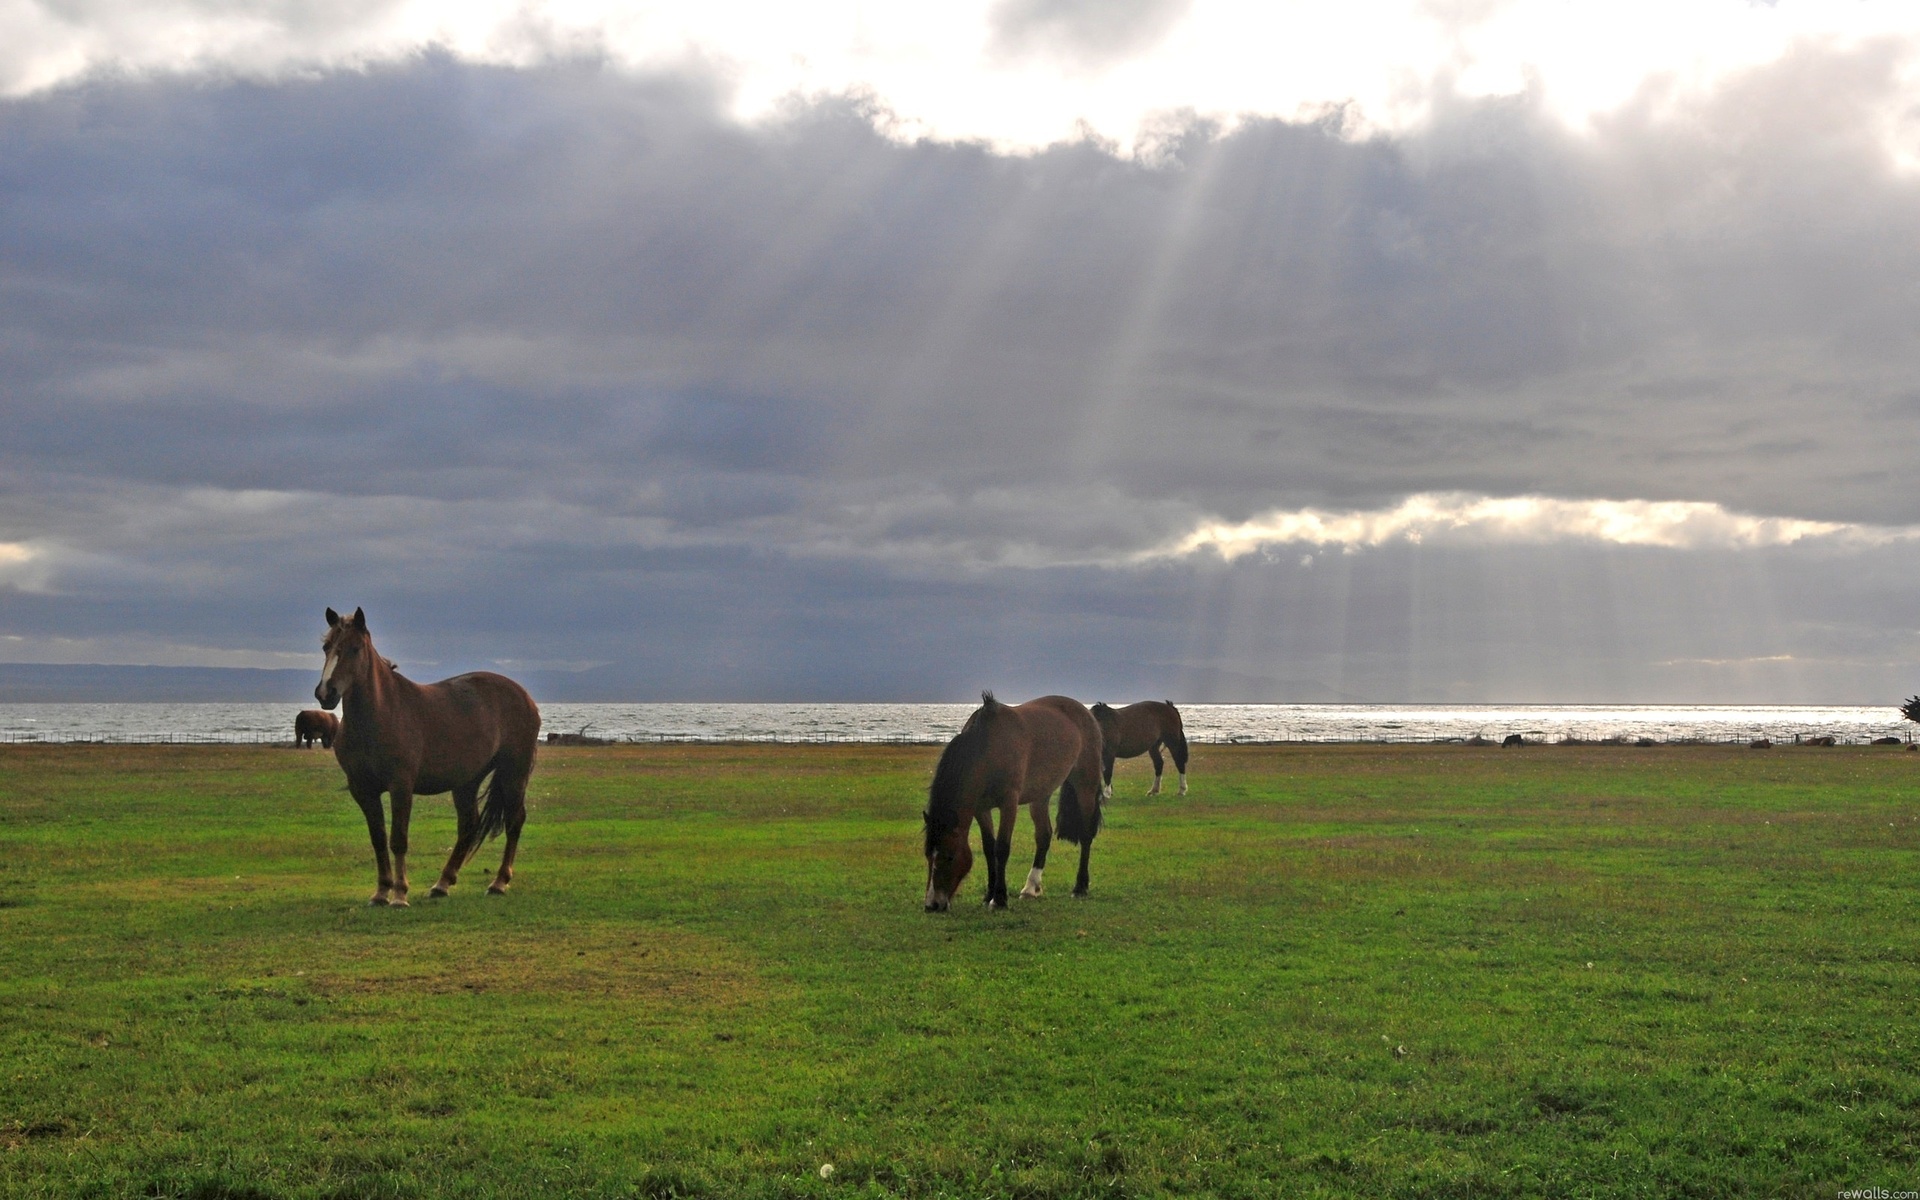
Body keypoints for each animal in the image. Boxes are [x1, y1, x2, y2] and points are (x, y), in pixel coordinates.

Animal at [316, 606, 541, 906]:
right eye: (326, 647)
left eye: (354, 649)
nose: (325, 693)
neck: (379, 715)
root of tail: (524, 696)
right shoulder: (363, 790)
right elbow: (378, 839)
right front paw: (381, 891)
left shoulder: (401, 786)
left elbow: (398, 839)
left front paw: (399, 894)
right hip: (467, 781)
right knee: (468, 825)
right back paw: (442, 883)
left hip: (513, 773)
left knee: (514, 821)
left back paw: (499, 882)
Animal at [921, 691, 1105, 906]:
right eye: (927, 855)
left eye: (950, 856)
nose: (932, 904)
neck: (987, 746)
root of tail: (1086, 712)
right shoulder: (980, 808)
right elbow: (989, 847)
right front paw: (989, 894)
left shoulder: (1009, 803)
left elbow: (1001, 847)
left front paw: (999, 898)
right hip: (1040, 795)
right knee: (1043, 835)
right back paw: (1031, 888)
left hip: (1085, 786)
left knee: (1086, 835)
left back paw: (1080, 887)